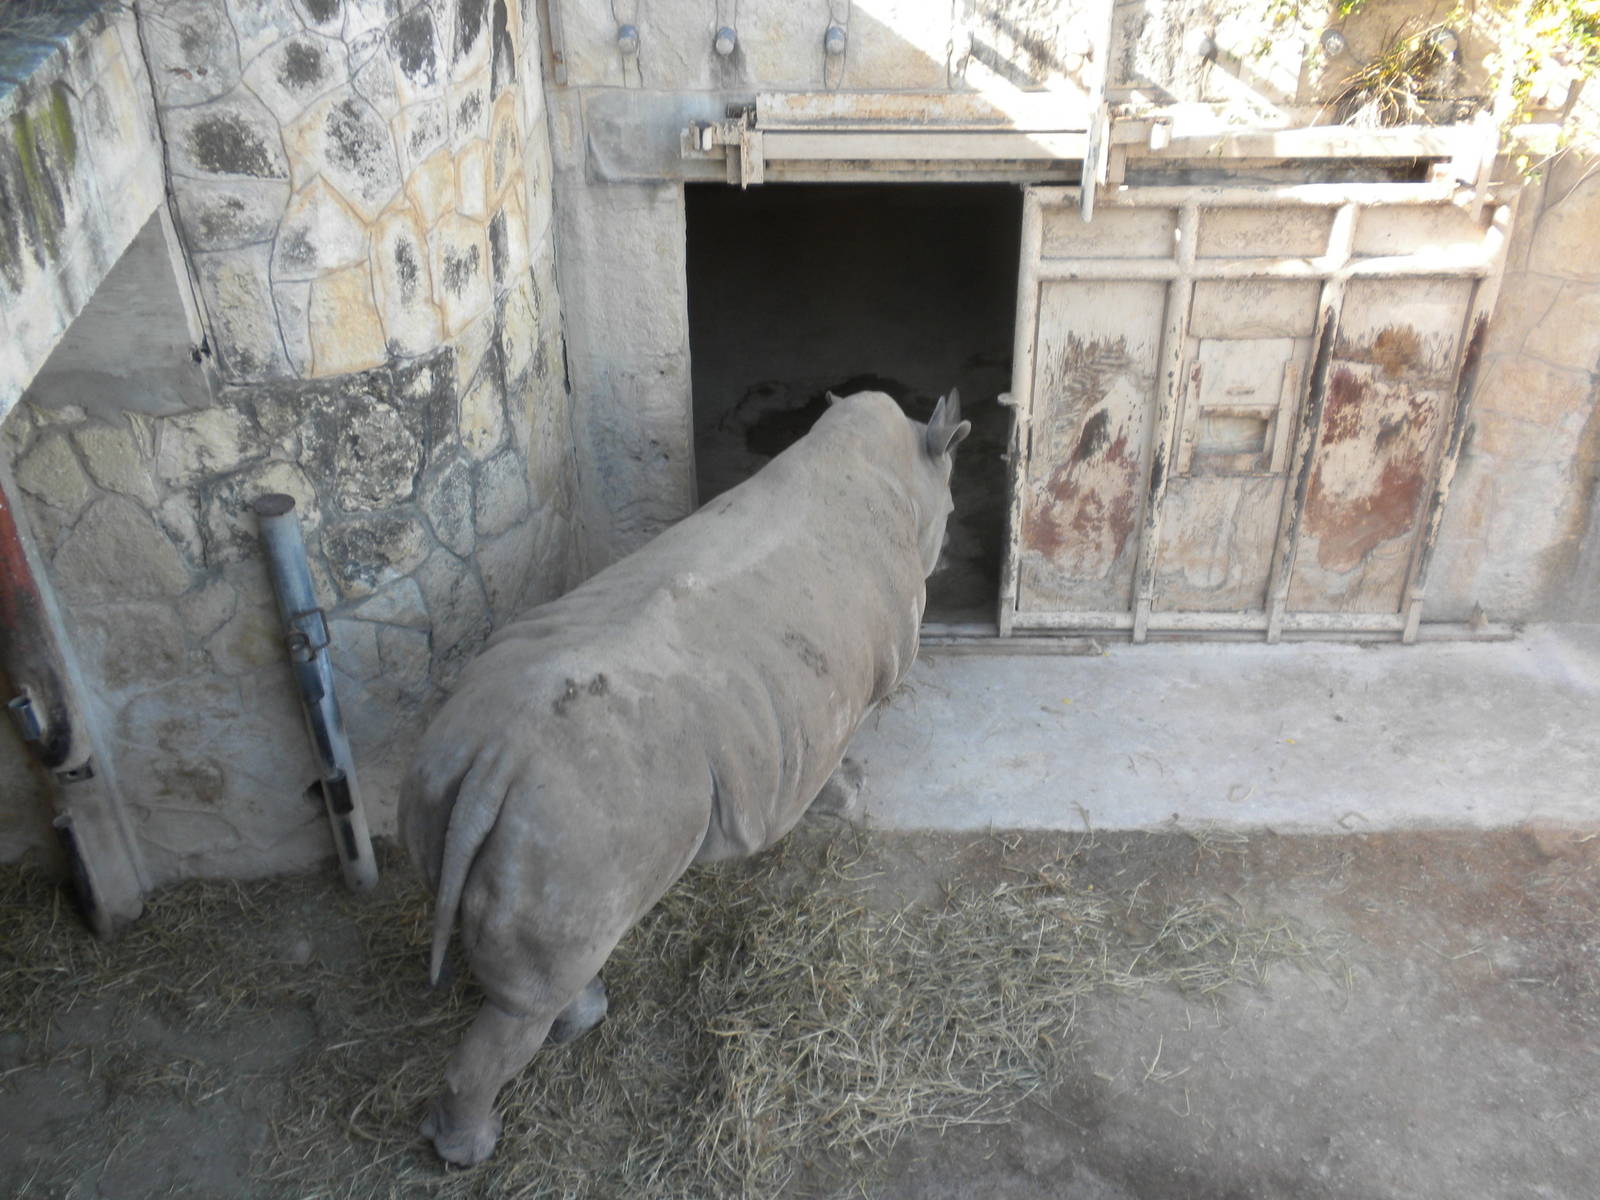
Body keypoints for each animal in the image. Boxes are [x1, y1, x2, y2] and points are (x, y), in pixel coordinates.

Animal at [400, 388, 971, 1165]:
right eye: (953, 507)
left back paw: (571, 1023)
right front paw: (850, 799)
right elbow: (833, 762)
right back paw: (478, 1142)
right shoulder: (856, 682)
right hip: (572, 823)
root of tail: (492, 767)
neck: (903, 469)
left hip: (446, 774)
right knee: (531, 996)